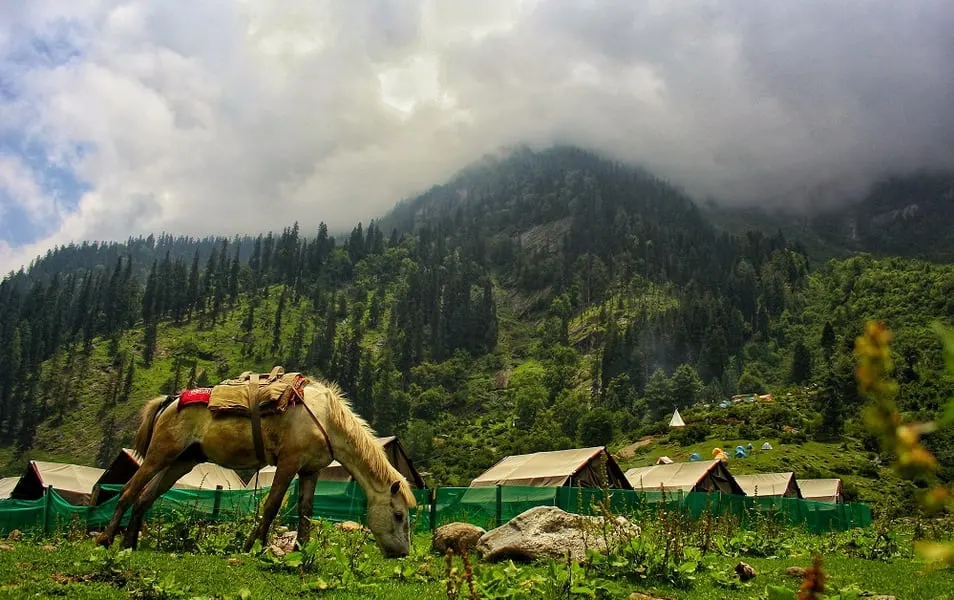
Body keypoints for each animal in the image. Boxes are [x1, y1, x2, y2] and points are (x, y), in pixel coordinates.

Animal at [94, 380, 416, 556]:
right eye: (399, 515)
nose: (402, 554)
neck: (326, 419)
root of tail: (171, 401)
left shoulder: (309, 471)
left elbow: (306, 511)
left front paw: (301, 551)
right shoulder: (288, 463)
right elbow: (271, 505)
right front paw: (253, 546)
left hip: (180, 462)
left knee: (146, 497)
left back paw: (129, 544)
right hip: (159, 455)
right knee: (129, 490)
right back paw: (106, 539)